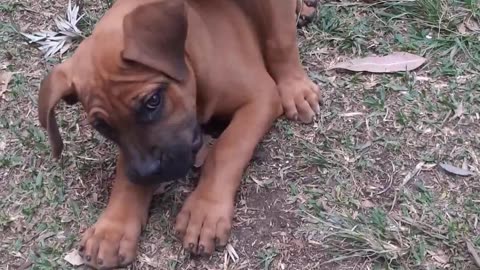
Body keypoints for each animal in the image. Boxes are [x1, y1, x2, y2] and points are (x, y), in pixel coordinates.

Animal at [38, 0, 318, 268]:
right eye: (102, 126)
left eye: (153, 101)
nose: (146, 173)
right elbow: (125, 171)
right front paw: (112, 229)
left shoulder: (260, 98)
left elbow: (226, 149)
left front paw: (205, 211)